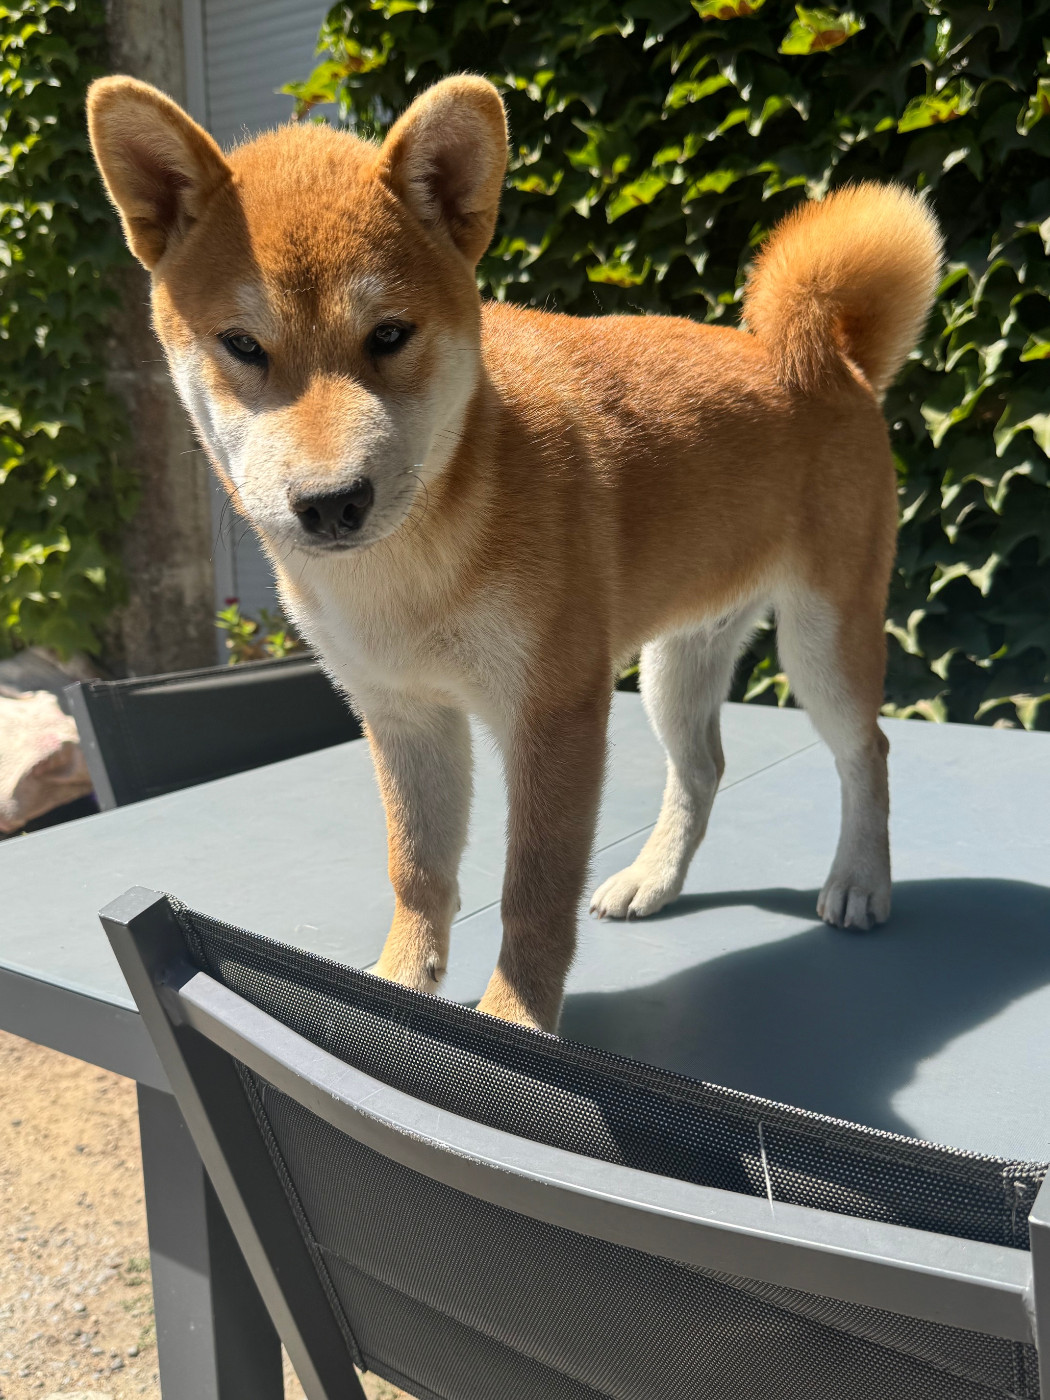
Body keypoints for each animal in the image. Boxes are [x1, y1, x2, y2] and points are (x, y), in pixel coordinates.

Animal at [87, 73, 942, 1032]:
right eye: (242, 345)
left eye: (389, 335)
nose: (333, 503)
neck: (410, 567)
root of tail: (834, 358)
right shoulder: (405, 715)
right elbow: (418, 869)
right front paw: (399, 982)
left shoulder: (553, 711)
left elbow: (534, 889)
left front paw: (515, 1026)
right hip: (675, 662)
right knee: (703, 769)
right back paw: (653, 879)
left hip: (822, 641)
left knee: (867, 750)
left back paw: (860, 880)